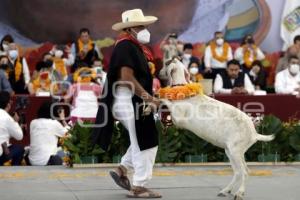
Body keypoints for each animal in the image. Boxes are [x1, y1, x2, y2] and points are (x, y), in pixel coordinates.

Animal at [159, 58, 274, 200]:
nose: (158, 73)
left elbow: (166, 101)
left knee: (245, 171)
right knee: (238, 172)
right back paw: (225, 190)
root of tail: (254, 133)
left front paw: (157, 94)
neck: (182, 90)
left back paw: (239, 193)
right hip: (230, 151)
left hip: (236, 150)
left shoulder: (178, 117)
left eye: (166, 63)